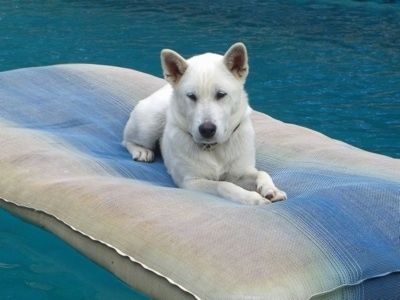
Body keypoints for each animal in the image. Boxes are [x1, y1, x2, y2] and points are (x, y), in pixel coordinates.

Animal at [123, 42, 286, 205]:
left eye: (221, 94)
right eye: (191, 96)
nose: (207, 129)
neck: (213, 148)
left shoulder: (240, 172)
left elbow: (262, 173)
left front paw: (271, 189)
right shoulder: (191, 181)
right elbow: (223, 185)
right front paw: (252, 198)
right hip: (149, 122)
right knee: (127, 140)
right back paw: (141, 151)